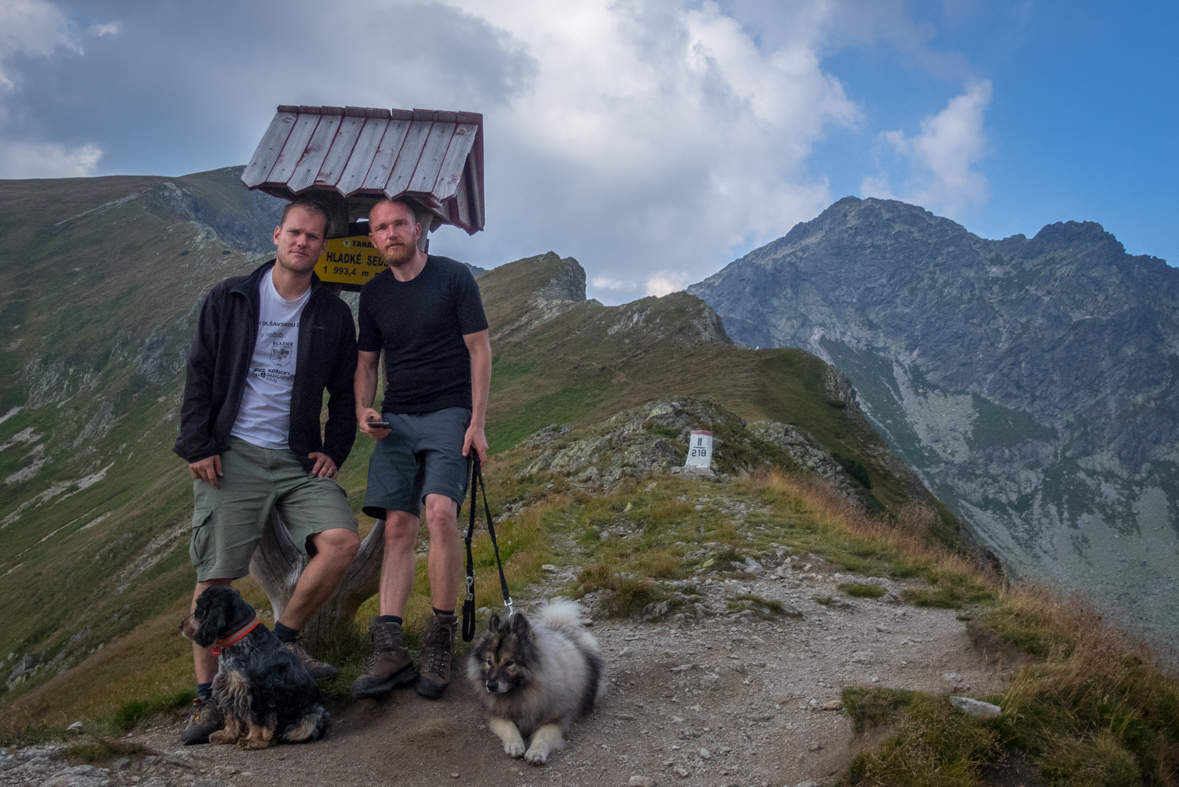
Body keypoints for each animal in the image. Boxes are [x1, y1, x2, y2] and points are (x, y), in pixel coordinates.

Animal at [183, 584, 332, 749]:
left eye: (199, 608)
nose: (181, 625)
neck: (239, 639)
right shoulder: (230, 687)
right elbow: (231, 717)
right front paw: (226, 735)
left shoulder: (255, 692)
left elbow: (257, 719)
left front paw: (253, 740)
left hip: (311, 718)